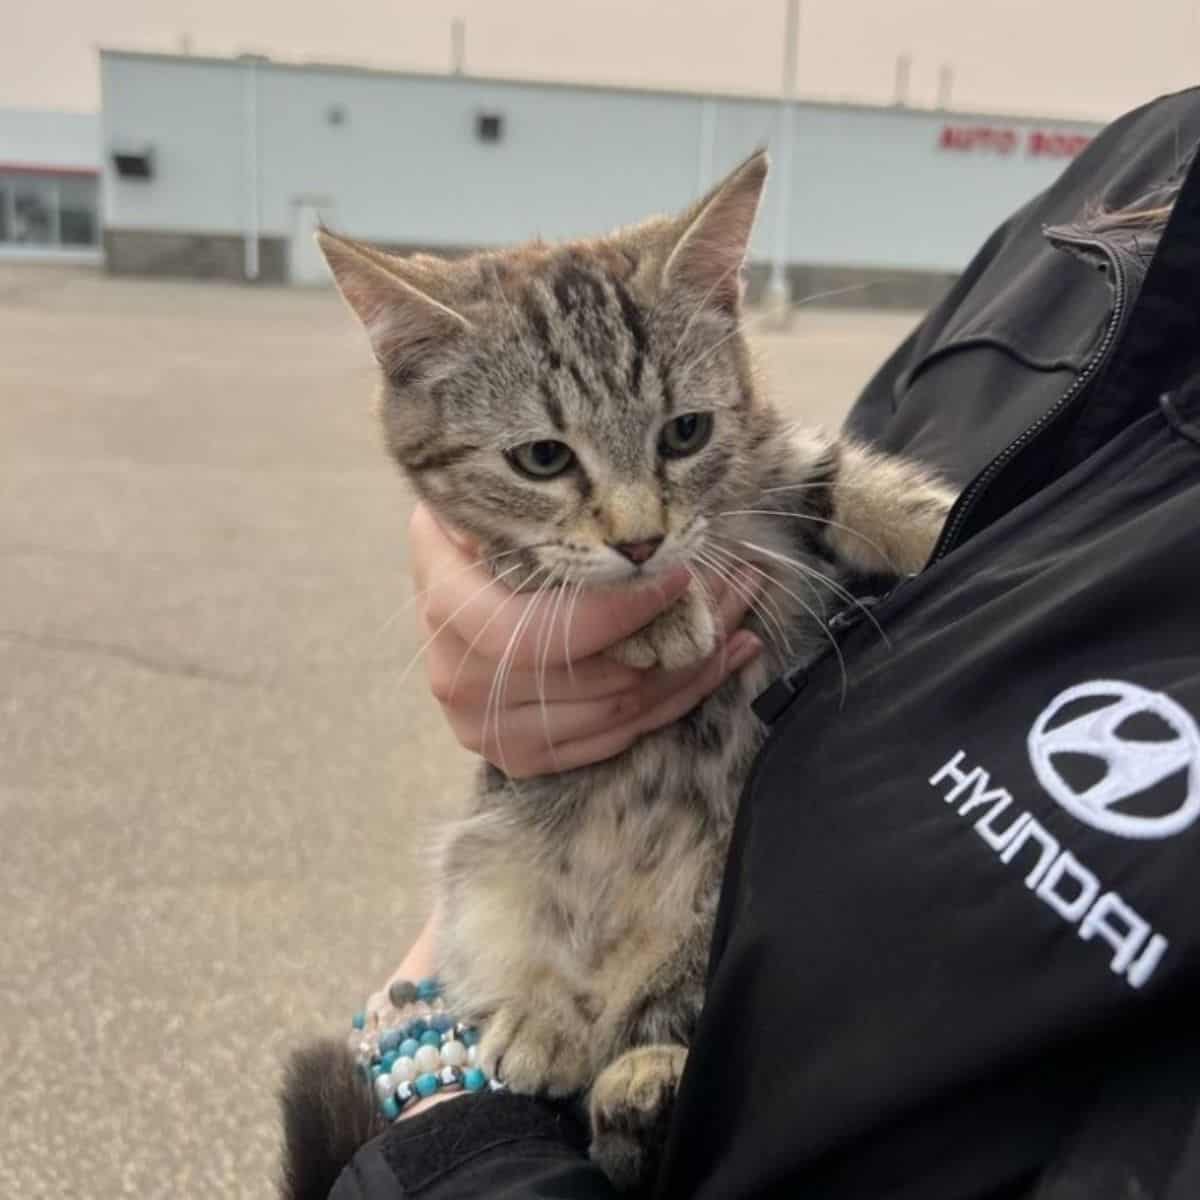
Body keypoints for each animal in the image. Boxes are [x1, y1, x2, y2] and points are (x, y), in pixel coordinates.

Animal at [278, 152, 945, 1200]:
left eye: (685, 432)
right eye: (542, 457)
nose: (640, 540)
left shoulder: (772, 454)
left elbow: (841, 473)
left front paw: (933, 516)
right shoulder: (487, 550)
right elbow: (545, 574)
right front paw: (660, 608)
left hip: (701, 920)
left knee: (660, 1023)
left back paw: (643, 1080)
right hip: (488, 870)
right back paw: (554, 1022)